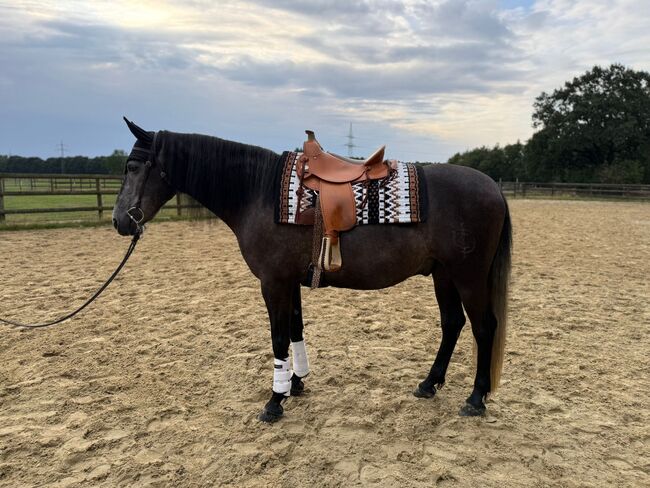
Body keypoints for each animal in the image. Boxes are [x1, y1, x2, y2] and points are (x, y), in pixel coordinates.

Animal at [112, 118, 512, 422]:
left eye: (132, 167)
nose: (119, 221)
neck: (258, 192)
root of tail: (494, 187)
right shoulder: (289, 282)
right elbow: (294, 329)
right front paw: (295, 383)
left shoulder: (273, 282)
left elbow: (277, 337)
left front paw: (275, 402)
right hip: (444, 275)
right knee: (452, 323)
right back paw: (429, 384)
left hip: (468, 276)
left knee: (483, 327)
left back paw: (476, 399)